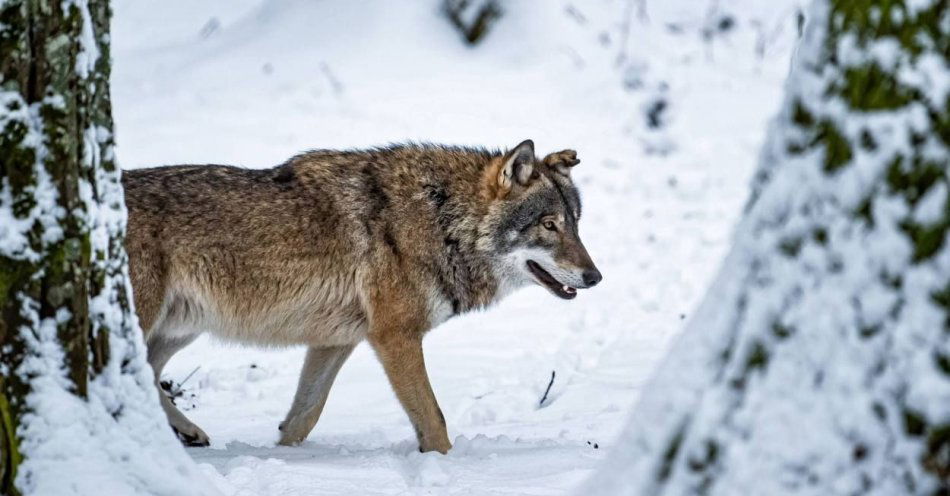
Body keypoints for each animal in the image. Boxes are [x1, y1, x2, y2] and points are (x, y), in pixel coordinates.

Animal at [122, 140, 604, 454]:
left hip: (180, 328)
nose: (595, 276)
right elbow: (433, 421)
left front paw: (284, 457)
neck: (442, 222)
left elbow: (304, 415)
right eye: (548, 225)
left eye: (576, 224)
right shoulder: (395, 337)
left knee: (145, 375)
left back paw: (185, 434)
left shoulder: (337, 341)